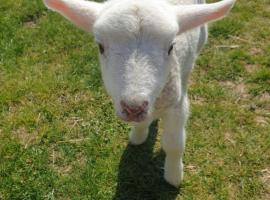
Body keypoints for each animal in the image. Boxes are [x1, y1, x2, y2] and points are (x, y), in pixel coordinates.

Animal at [43, 0, 235, 188]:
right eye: (100, 47)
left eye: (171, 47)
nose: (133, 108)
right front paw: (138, 135)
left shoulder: (176, 105)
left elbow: (174, 144)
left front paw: (174, 175)